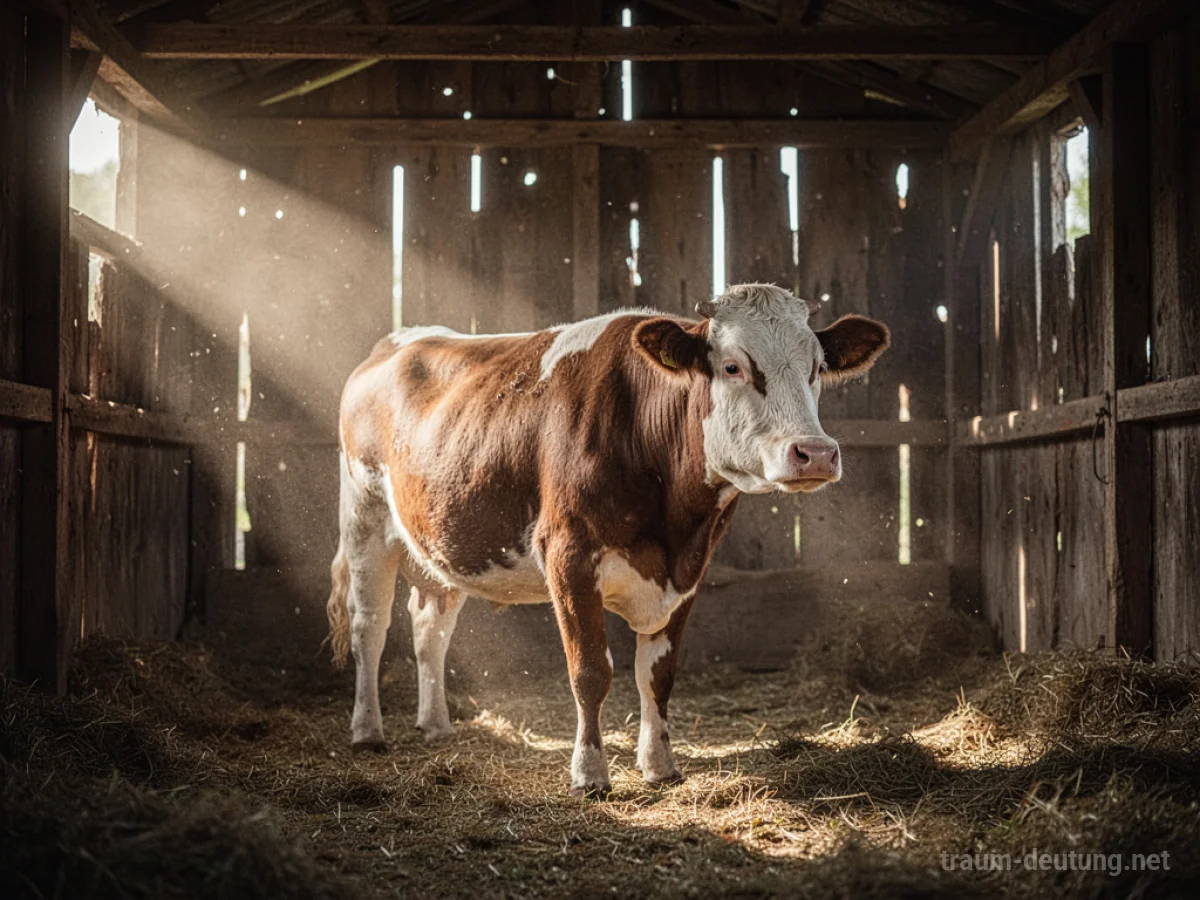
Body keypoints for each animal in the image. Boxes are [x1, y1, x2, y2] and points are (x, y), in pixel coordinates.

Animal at [327, 283, 889, 797]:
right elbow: (591, 671)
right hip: (363, 516)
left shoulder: (688, 572)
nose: (815, 453)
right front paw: (590, 774)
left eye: (816, 366)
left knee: (430, 626)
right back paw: (367, 731)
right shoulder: (568, 557)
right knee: (370, 626)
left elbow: (657, 674)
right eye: (732, 367)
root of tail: (403, 339)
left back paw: (436, 724)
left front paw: (660, 765)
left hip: (440, 538)